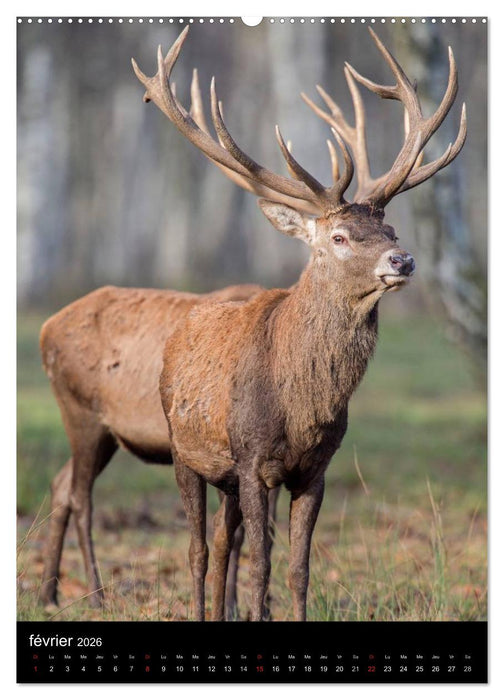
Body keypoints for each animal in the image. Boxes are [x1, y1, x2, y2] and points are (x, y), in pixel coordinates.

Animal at [131, 26, 466, 621]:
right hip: (183, 449)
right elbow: (262, 563)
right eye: (338, 236)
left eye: (392, 230)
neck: (302, 407)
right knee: (198, 548)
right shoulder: (252, 459)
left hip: (223, 475)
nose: (402, 261)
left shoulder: (316, 469)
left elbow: (298, 568)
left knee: (223, 543)